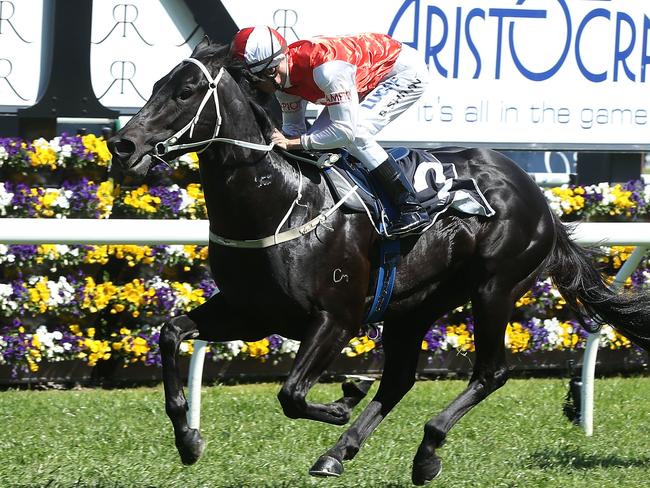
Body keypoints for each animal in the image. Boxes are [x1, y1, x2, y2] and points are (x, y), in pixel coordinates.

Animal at [107, 39, 648, 484]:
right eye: (155, 85)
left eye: (187, 91)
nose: (123, 144)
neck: (281, 202)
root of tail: (536, 196)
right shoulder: (252, 311)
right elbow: (172, 333)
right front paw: (188, 439)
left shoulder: (336, 317)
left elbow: (291, 394)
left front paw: (345, 397)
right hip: (415, 304)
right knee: (400, 378)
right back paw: (338, 453)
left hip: (495, 288)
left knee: (489, 373)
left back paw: (426, 451)